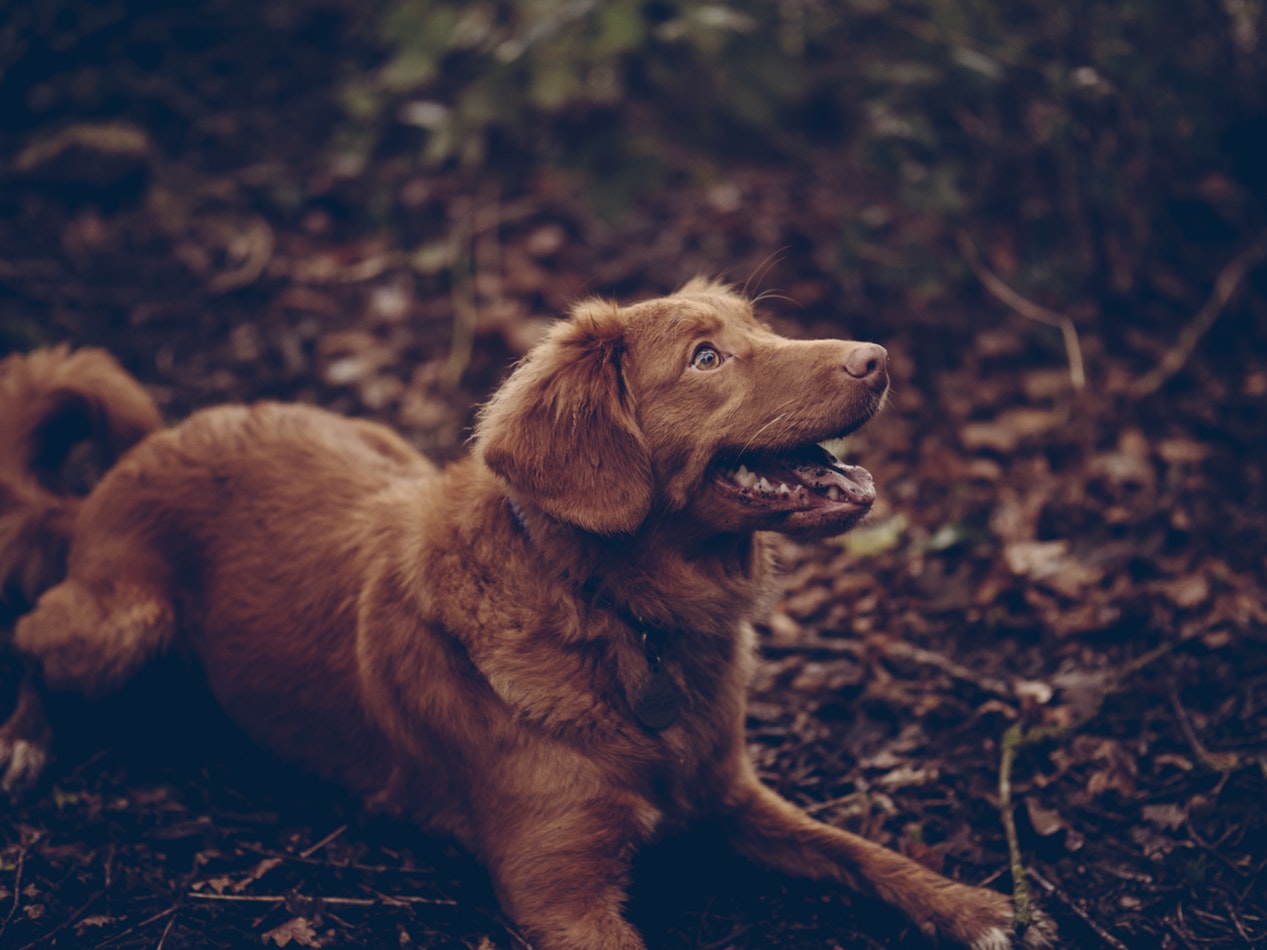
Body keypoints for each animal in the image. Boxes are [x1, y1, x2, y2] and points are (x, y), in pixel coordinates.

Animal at [2, 282, 1038, 950]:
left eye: (761, 329)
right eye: (706, 356)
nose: (878, 358)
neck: (625, 621)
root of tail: (117, 470)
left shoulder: (730, 795)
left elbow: (856, 849)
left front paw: (973, 905)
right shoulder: (560, 895)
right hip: (121, 625)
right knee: (32, 636)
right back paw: (23, 744)